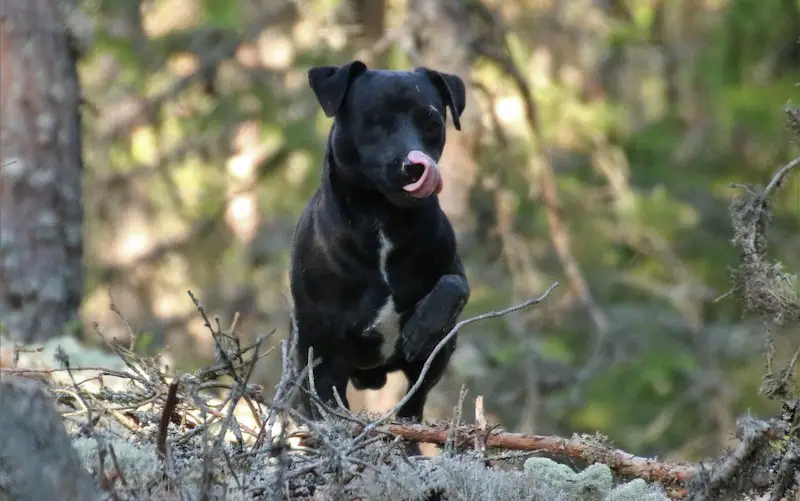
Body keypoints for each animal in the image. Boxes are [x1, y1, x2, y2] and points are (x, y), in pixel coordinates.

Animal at [290, 60, 468, 452]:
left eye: (433, 124)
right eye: (375, 121)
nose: (414, 165)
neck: (383, 222)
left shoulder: (453, 270)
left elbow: (453, 285)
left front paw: (421, 325)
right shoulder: (321, 356)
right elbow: (328, 411)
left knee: (411, 410)